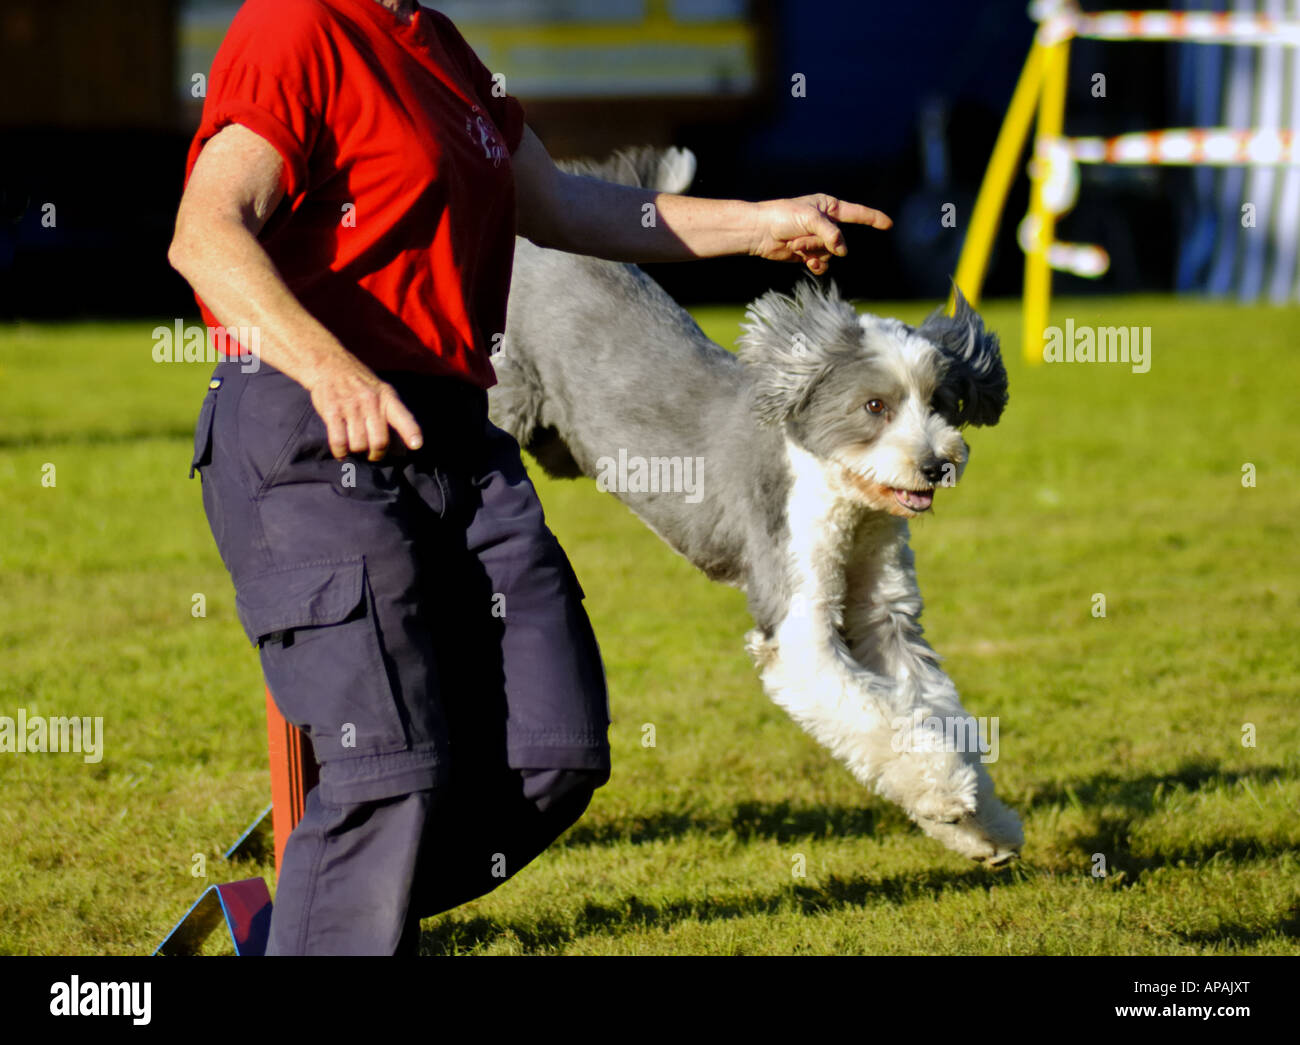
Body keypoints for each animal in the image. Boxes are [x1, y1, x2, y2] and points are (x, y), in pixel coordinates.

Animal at [488, 148, 1024, 863]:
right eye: (875, 406)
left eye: (941, 403)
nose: (936, 462)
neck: (843, 496)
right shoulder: (795, 607)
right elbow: (873, 713)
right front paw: (945, 791)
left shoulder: (883, 612)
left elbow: (930, 704)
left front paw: (986, 826)